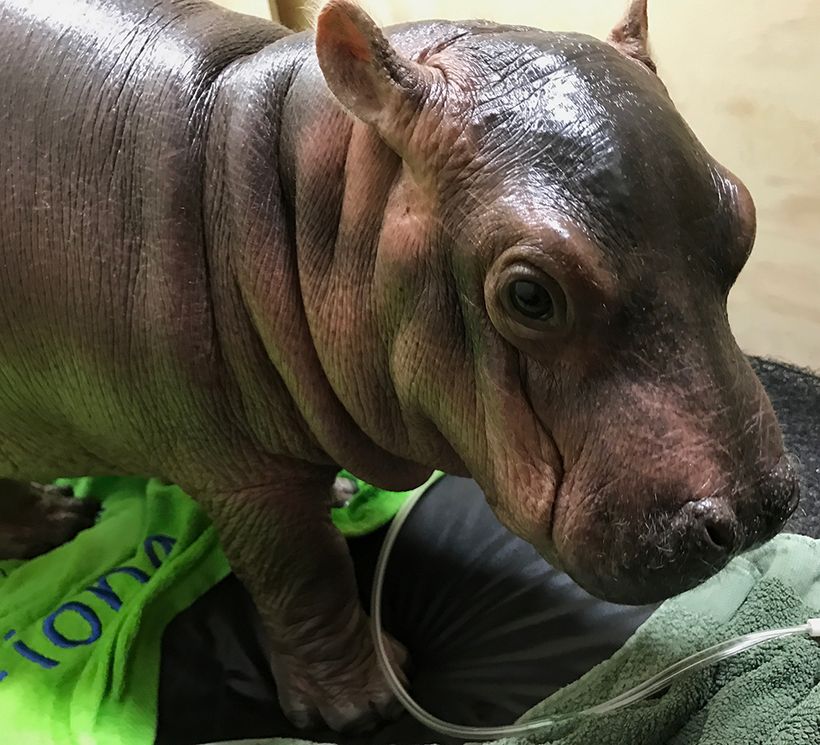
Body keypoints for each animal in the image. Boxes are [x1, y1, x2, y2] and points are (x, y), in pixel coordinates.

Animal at [0, 0, 796, 732]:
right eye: (530, 295)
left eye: (746, 217)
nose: (756, 509)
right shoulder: (246, 475)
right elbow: (305, 576)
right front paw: (365, 708)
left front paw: (336, 497)